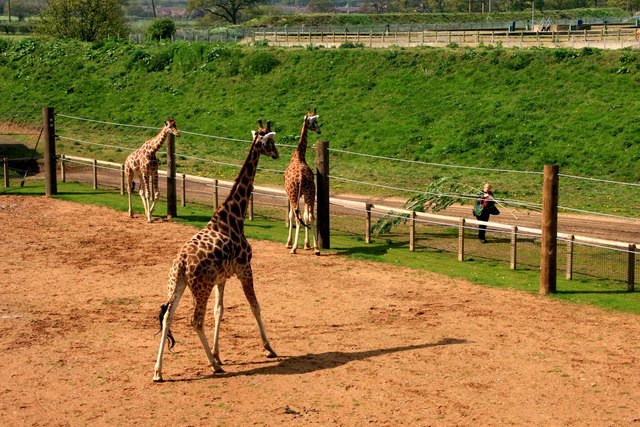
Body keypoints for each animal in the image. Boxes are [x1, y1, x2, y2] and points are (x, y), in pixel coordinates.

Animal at [154, 120, 278, 384]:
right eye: (270, 141)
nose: (277, 154)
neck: (233, 216)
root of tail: (181, 262)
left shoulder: (222, 278)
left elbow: (219, 312)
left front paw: (219, 353)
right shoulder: (245, 269)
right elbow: (255, 306)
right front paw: (268, 348)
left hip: (177, 283)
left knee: (168, 316)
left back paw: (158, 372)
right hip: (201, 286)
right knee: (195, 320)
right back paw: (212, 366)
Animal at [282, 110, 320, 256]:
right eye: (313, 121)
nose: (319, 130)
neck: (298, 156)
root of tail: (302, 177)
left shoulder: (289, 194)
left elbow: (291, 216)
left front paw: (289, 243)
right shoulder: (304, 194)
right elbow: (306, 216)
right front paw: (307, 245)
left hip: (294, 194)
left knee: (298, 218)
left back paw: (293, 248)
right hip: (311, 193)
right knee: (311, 216)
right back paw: (317, 248)